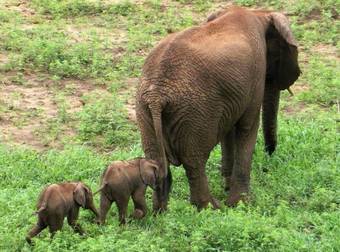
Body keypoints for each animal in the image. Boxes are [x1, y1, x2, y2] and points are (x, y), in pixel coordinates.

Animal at [135, 5, 300, 211]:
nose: (268, 160)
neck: (259, 13)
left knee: (156, 161)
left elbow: (228, 132)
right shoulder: (256, 73)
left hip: (145, 110)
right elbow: (247, 127)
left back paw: (160, 212)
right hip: (193, 112)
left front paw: (227, 188)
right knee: (194, 161)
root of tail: (157, 94)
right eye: (276, 58)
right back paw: (211, 208)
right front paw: (241, 205)